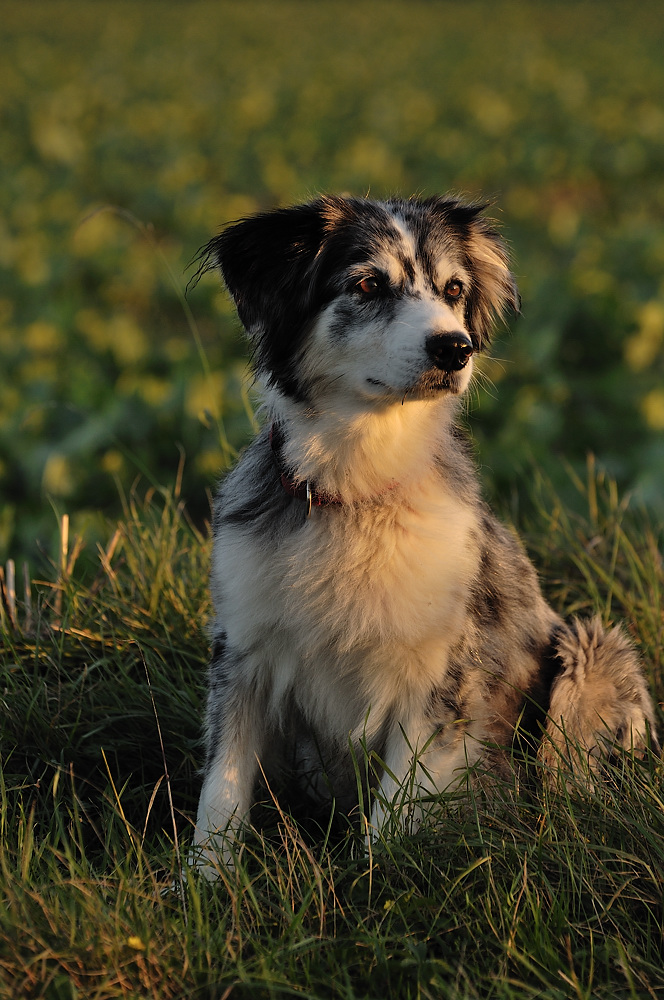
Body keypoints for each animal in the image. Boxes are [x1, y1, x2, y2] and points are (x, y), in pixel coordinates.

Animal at [192, 195, 660, 876]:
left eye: (454, 289)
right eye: (367, 284)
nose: (455, 349)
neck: (358, 493)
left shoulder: (441, 671)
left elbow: (396, 807)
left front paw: (374, 885)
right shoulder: (243, 649)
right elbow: (222, 788)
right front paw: (203, 882)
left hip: (591, 654)